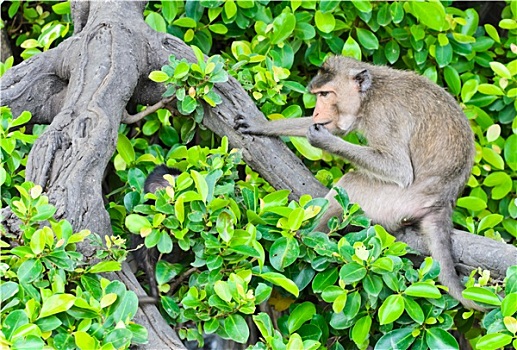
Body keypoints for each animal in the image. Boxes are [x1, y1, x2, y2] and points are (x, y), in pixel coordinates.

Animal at [235, 55, 484, 312]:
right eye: (317, 95)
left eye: (325, 94)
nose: (316, 113)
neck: (369, 96)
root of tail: (443, 202)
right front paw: (260, 124)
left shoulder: (383, 117)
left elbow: (399, 169)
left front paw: (324, 140)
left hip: (396, 202)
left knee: (351, 184)